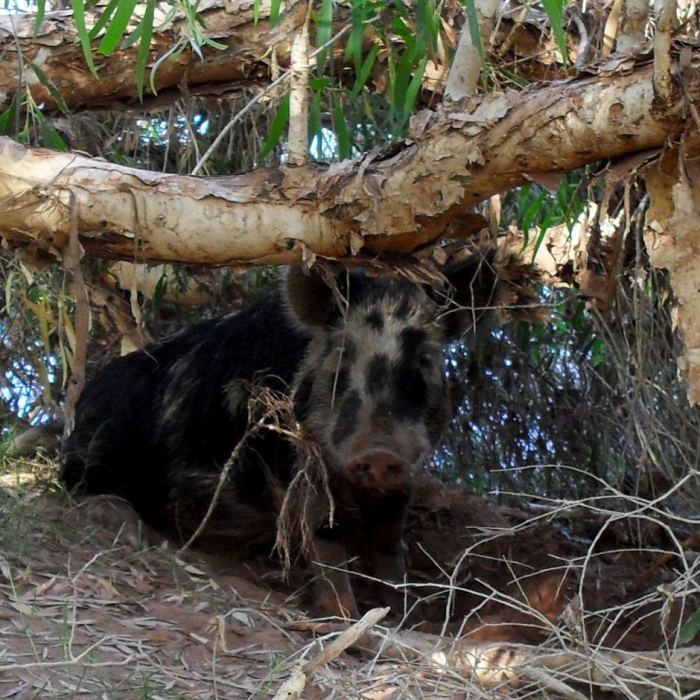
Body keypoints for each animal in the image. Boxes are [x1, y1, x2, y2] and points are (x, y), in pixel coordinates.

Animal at [61, 250, 498, 617]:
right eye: (342, 354)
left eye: (426, 358)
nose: (379, 450)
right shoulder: (290, 458)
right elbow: (325, 535)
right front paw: (342, 616)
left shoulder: (407, 474)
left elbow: (390, 541)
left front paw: (403, 613)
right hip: (98, 447)